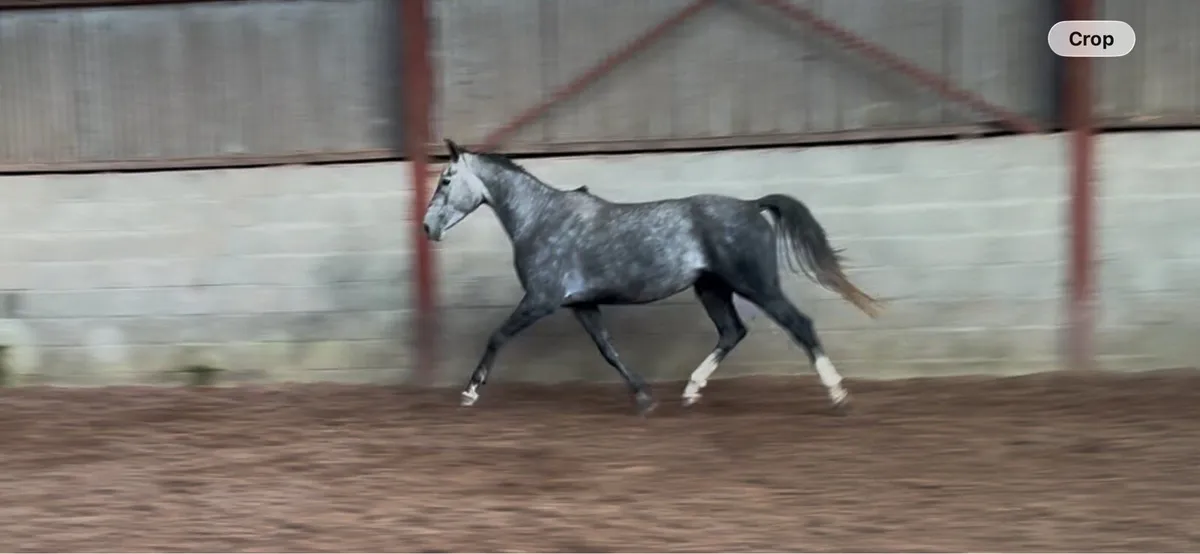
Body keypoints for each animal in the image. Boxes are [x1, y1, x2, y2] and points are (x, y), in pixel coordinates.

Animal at [422, 139, 882, 416]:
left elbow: (497, 336)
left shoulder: (541, 299)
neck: (540, 219)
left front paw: (469, 392)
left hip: (756, 285)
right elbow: (608, 350)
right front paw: (644, 398)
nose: (427, 227)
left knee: (799, 324)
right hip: (711, 288)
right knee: (732, 332)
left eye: (446, 179)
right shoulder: (581, 304)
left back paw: (838, 394)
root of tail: (753, 205)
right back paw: (690, 391)